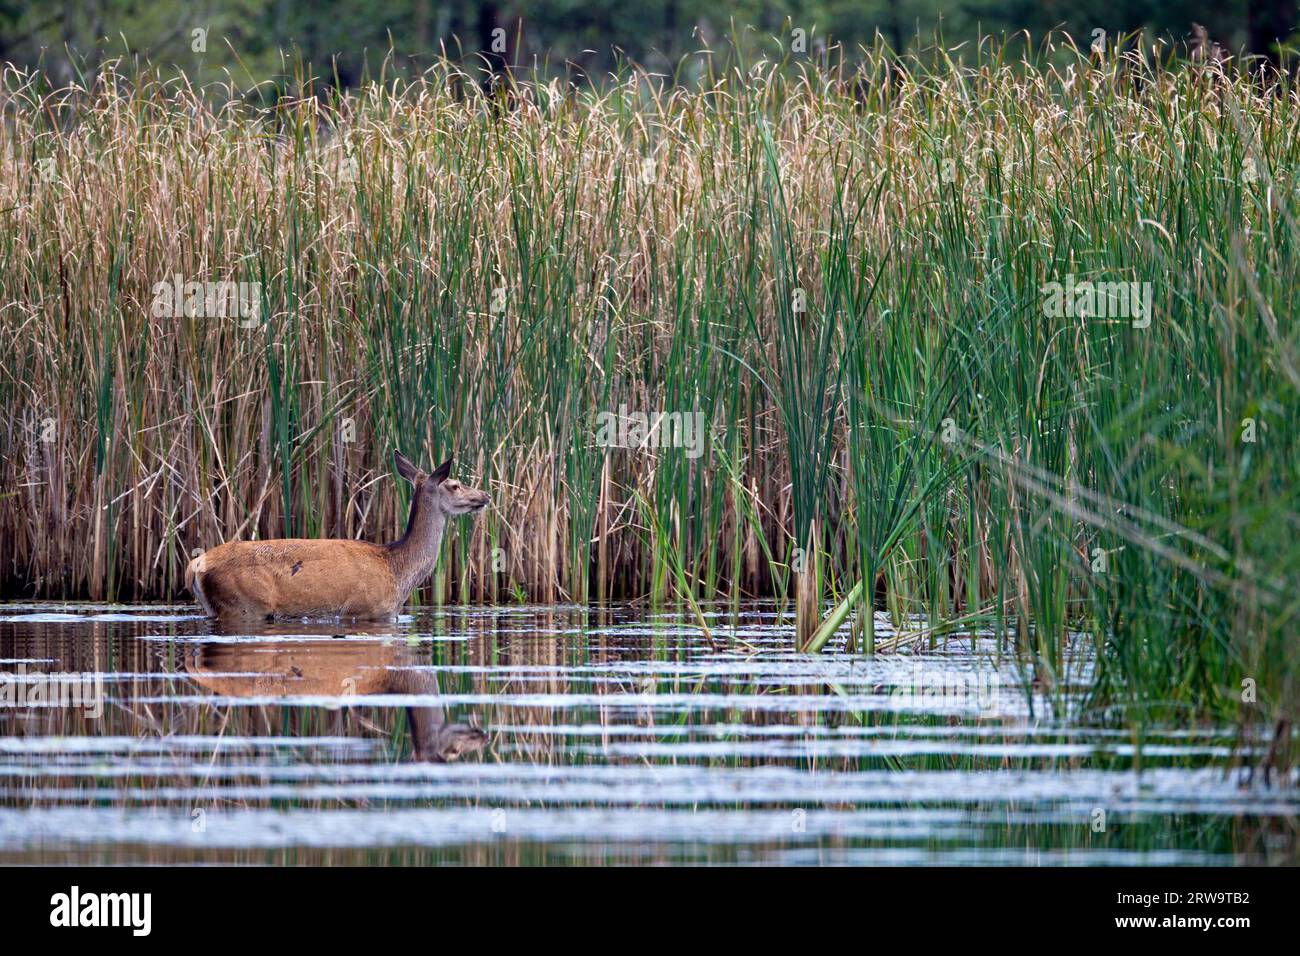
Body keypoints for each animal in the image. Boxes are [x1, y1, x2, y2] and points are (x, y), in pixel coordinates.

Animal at [186, 451, 489, 622]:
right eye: (455, 485)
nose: (484, 495)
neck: (397, 570)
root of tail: (196, 565)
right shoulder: (365, 610)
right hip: (243, 604)